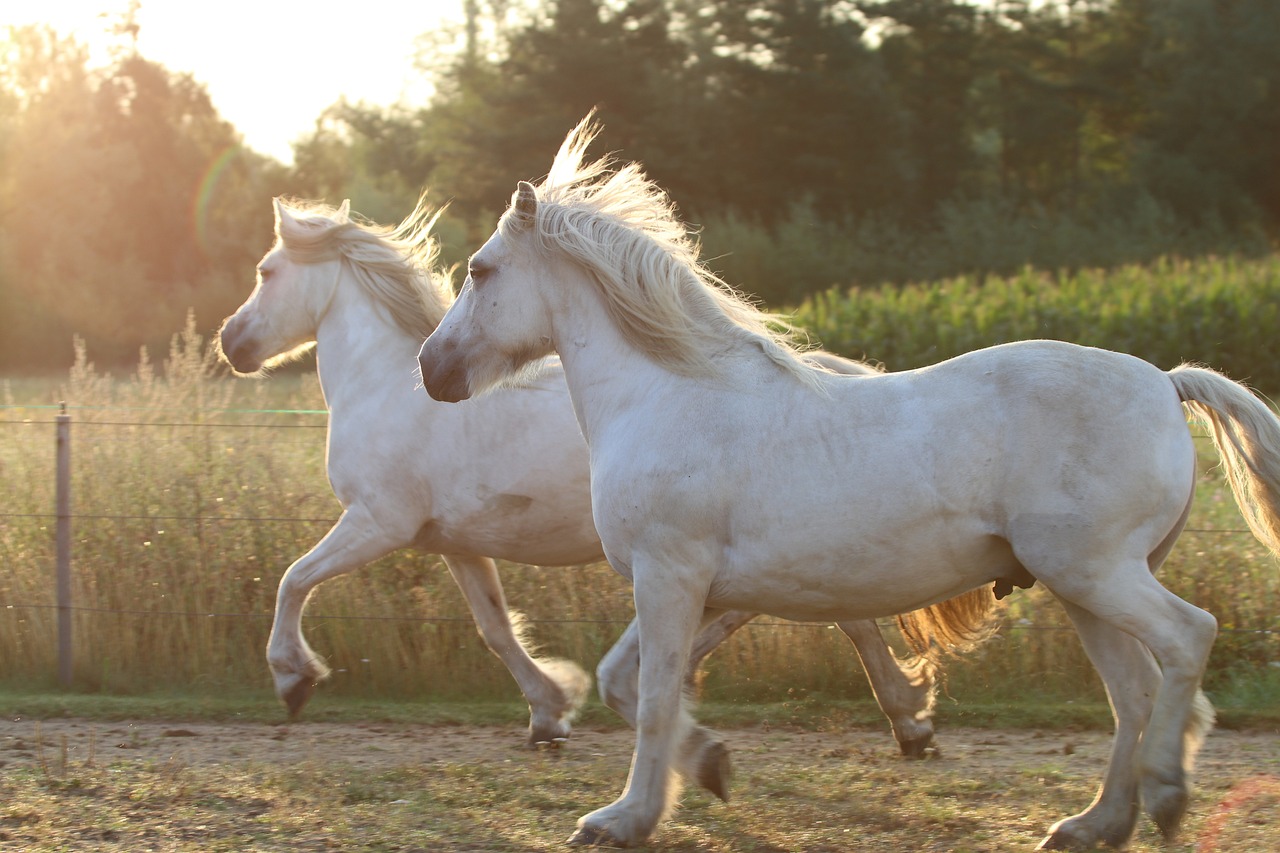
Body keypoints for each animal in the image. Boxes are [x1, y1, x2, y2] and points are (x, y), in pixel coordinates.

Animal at [220, 195, 977, 747]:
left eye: (265, 272)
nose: (230, 343)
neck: (382, 388)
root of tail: (837, 373)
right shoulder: (454, 542)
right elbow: (495, 628)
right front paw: (549, 711)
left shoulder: (378, 521)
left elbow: (293, 579)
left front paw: (292, 680)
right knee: (805, 612)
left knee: (833, 617)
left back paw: (905, 718)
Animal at [417, 117, 1280, 845]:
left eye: (481, 269)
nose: (432, 368)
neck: (667, 395)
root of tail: (1164, 381)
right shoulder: (700, 589)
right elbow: (624, 682)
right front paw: (709, 765)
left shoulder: (670, 577)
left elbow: (656, 694)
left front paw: (624, 818)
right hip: (1080, 586)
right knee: (1133, 690)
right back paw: (1094, 822)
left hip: (1095, 572)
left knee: (1186, 639)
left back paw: (1164, 795)